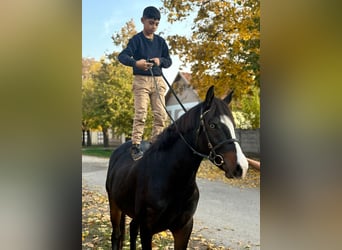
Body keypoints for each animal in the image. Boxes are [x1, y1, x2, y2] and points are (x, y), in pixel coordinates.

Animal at [105, 86, 248, 250]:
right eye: (212, 124)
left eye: (233, 125)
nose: (241, 167)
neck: (172, 179)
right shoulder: (147, 229)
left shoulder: (184, 228)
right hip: (114, 205)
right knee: (116, 235)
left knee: (131, 229)